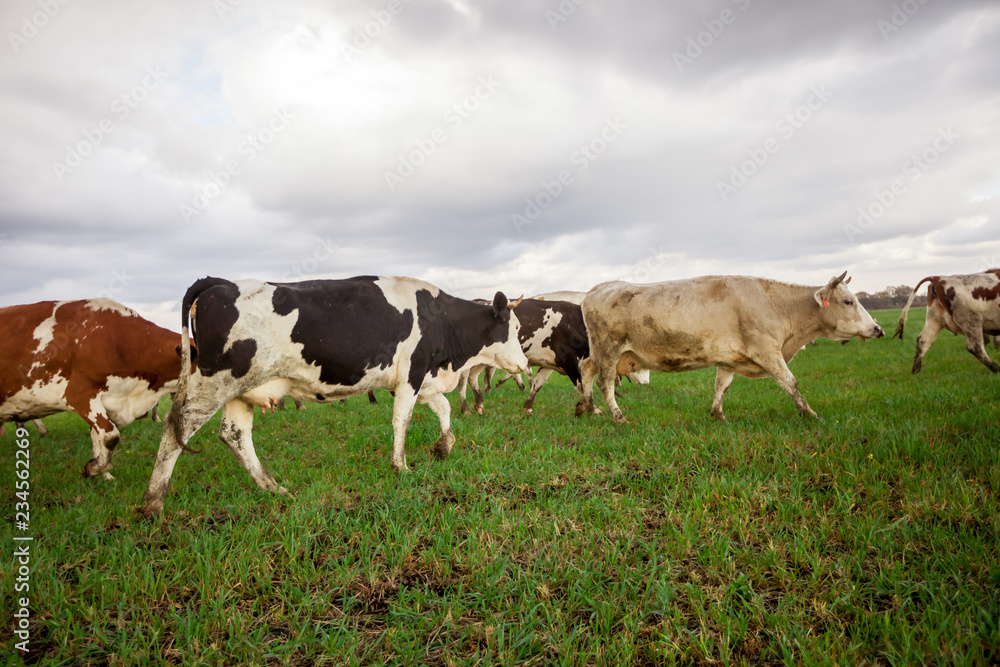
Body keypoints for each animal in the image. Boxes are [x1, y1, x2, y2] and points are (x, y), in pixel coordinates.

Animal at [580, 272, 884, 422]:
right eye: (848, 301)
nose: (878, 328)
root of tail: (597, 288)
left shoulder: (728, 358)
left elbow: (721, 386)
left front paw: (718, 415)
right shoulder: (768, 351)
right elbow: (790, 382)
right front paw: (809, 413)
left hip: (602, 353)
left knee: (585, 369)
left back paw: (587, 408)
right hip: (609, 350)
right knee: (605, 383)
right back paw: (617, 416)